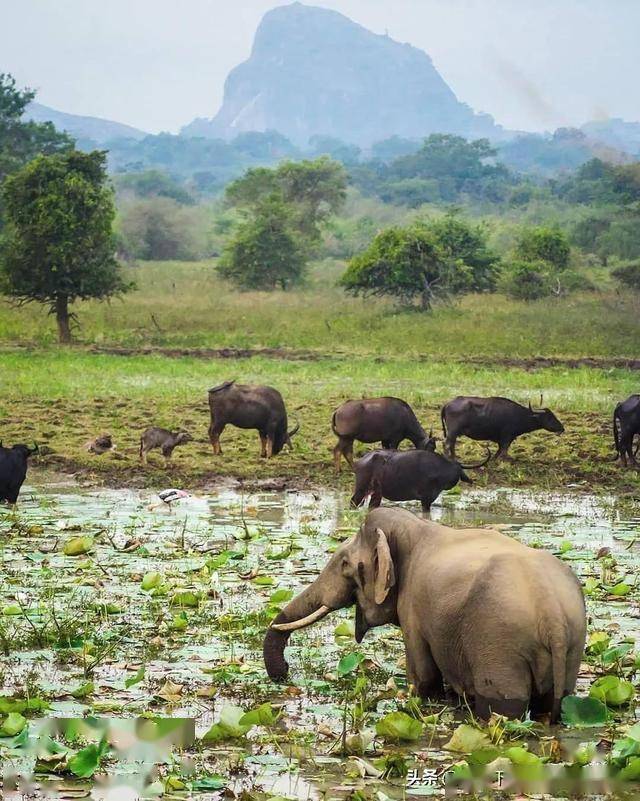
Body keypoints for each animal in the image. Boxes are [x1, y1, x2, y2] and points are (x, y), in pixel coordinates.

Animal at [262, 510, 588, 720]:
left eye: (345, 564)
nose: (285, 672)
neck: (416, 527)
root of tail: (552, 614)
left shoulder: (414, 611)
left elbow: (423, 676)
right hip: (572, 646)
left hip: (500, 646)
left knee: (503, 708)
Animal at [350, 444, 490, 512]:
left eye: (458, 471)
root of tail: (360, 461)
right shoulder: (426, 499)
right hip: (361, 488)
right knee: (353, 502)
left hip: (376, 493)